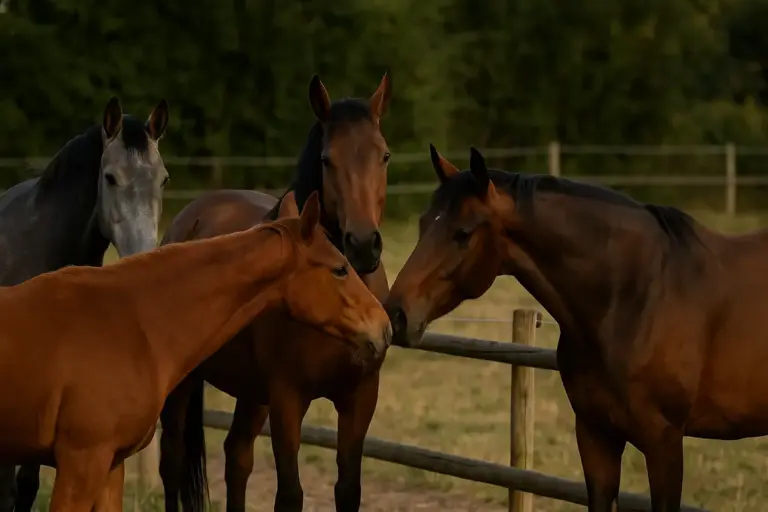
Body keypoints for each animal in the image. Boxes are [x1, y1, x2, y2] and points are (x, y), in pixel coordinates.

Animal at [158, 72, 392, 512]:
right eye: (327, 159)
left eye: (384, 155)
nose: (363, 244)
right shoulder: (287, 399)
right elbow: (290, 494)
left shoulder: (359, 399)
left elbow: (347, 490)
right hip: (186, 387)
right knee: (172, 462)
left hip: (252, 393)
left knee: (237, 456)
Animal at [385, 145, 768, 511]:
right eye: (423, 223)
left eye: (462, 233)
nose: (396, 315)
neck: (633, 297)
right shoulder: (595, 434)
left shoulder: (665, 443)